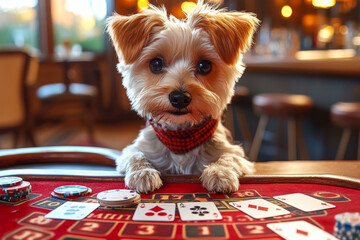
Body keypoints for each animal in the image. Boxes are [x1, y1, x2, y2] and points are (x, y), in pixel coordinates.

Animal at [106, 1, 258, 193]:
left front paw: (220, 173)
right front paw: (142, 173)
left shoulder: (237, 154)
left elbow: (229, 157)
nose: (179, 97)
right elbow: (135, 155)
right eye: (156, 63)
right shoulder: (133, 150)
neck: (181, 139)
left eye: (204, 65)